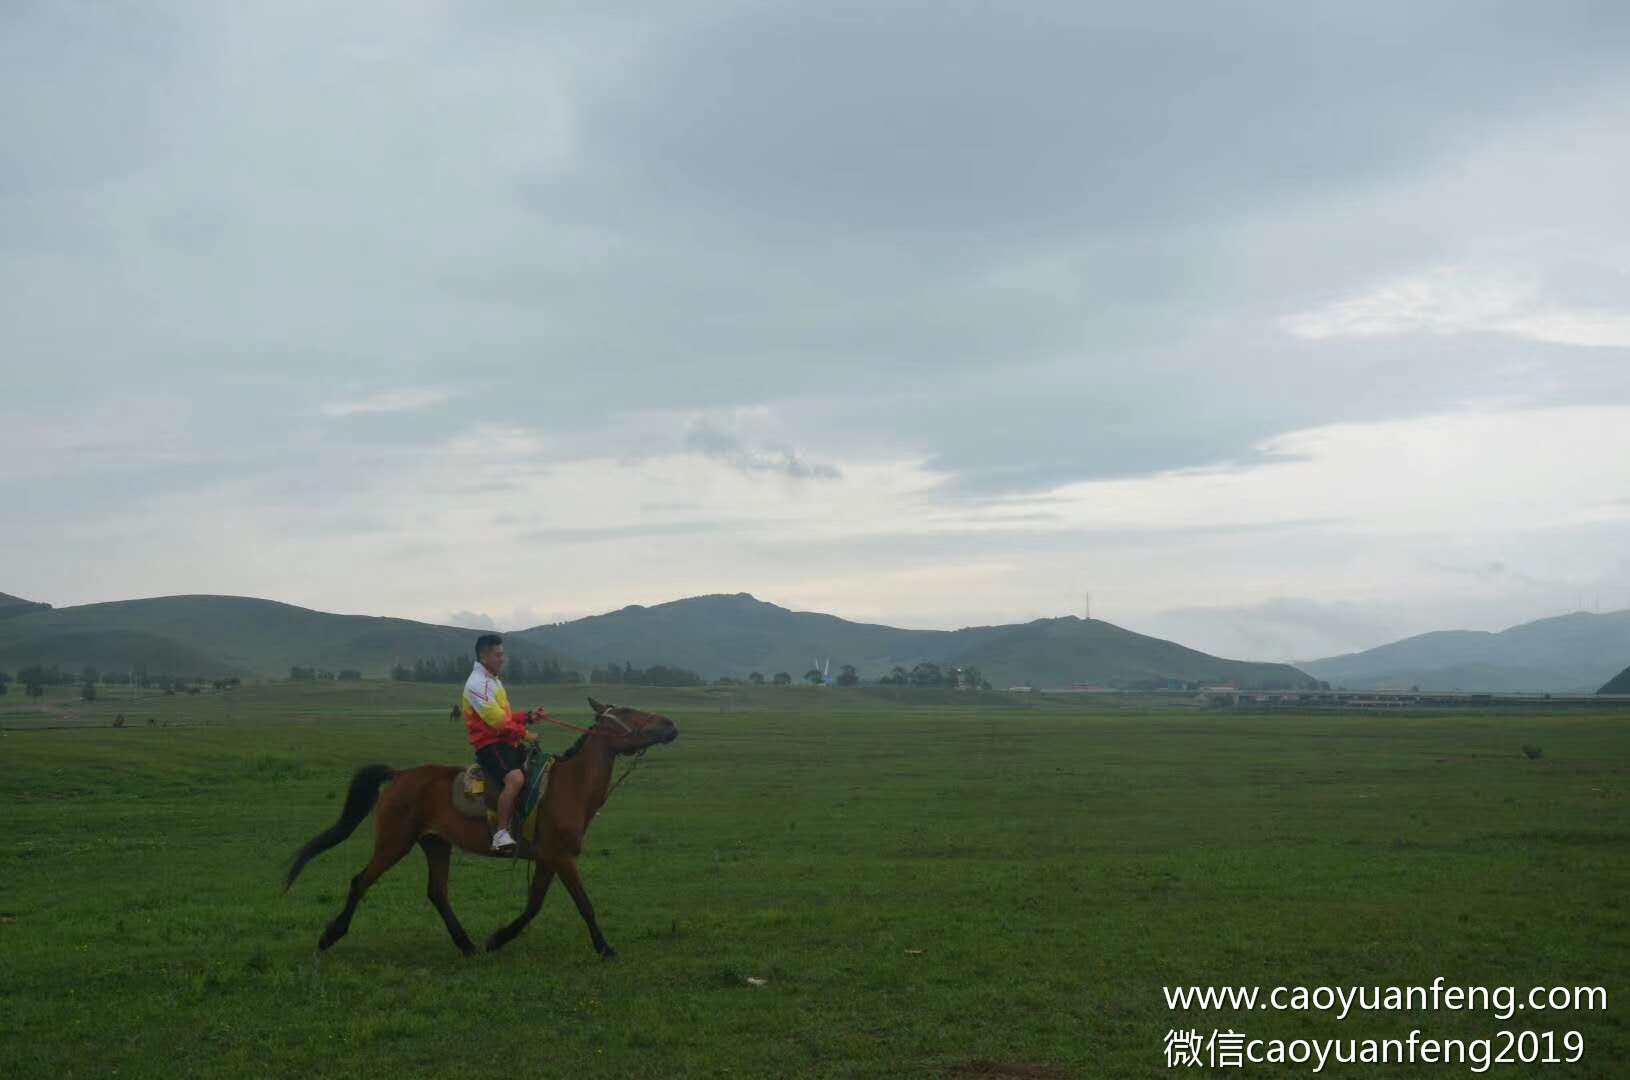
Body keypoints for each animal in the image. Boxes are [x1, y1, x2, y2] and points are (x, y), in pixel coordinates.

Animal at [286, 697, 674, 957]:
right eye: (627, 713)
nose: (670, 725)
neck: (569, 786)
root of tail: (400, 775)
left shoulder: (548, 858)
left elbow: (533, 905)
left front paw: (498, 938)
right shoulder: (562, 857)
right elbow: (583, 903)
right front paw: (605, 948)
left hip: (435, 843)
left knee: (437, 892)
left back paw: (467, 944)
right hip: (394, 842)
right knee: (361, 881)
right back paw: (330, 935)